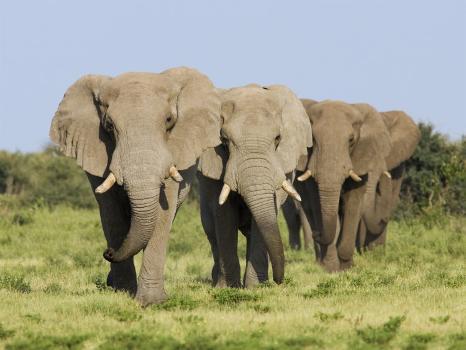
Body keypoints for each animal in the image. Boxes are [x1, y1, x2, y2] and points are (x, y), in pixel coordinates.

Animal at [49, 66, 222, 306]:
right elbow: (111, 213)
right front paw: (123, 293)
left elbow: (162, 215)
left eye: (169, 120)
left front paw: (151, 302)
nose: (108, 252)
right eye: (109, 125)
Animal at [195, 84, 312, 288]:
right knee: (211, 229)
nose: (279, 281)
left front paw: (256, 287)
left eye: (277, 138)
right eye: (224, 141)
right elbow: (224, 215)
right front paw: (228, 288)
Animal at [294, 100, 392, 272]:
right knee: (309, 210)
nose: (316, 234)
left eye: (351, 140)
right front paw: (331, 269)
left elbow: (352, 205)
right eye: (313, 139)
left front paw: (347, 267)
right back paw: (320, 262)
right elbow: (317, 204)